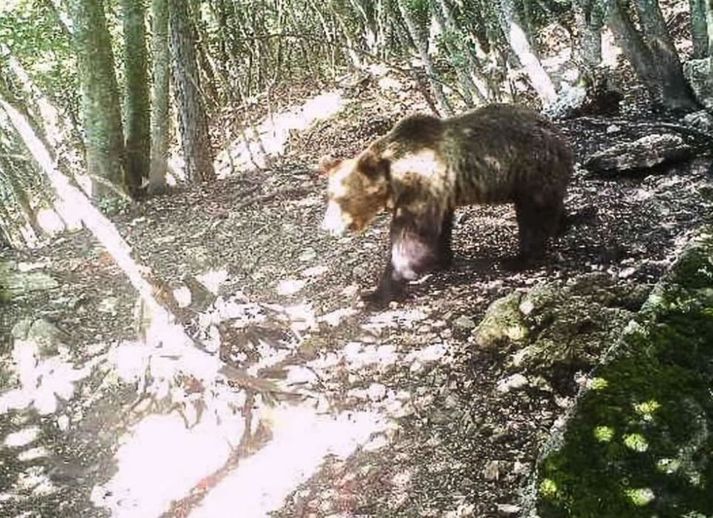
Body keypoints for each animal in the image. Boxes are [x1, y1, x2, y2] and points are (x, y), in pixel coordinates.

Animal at [320, 103, 576, 306]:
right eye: (329, 195)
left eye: (342, 198)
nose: (326, 227)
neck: (395, 178)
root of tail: (557, 132)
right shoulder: (439, 192)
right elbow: (439, 228)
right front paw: (439, 260)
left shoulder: (420, 186)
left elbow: (410, 236)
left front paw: (379, 291)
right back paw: (564, 224)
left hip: (529, 169)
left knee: (534, 215)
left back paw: (518, 259)